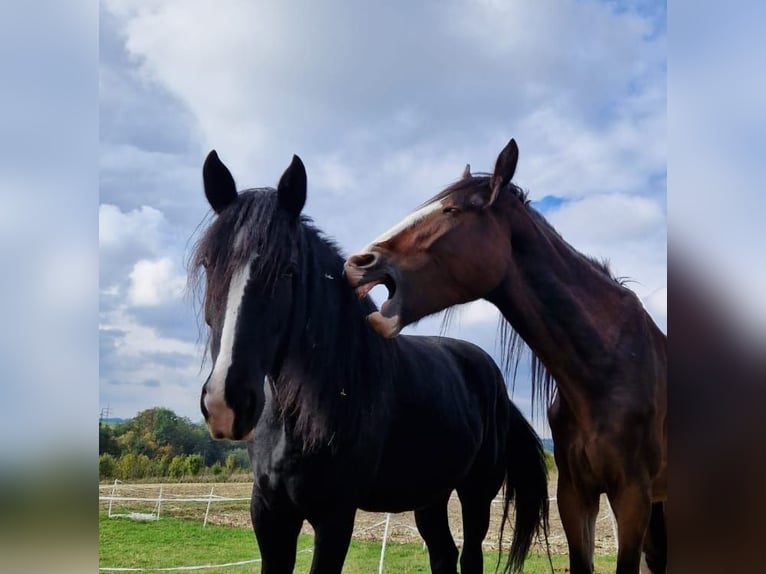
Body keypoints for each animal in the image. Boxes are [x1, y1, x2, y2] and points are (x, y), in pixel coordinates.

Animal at [190, 150, 550, 574]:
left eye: (288, 271)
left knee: (470, 555)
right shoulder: (270, 513)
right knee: (444, 554)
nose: (225, 403)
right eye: (208, 265)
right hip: (431, 494)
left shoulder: (335, 516)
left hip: (476, 493)